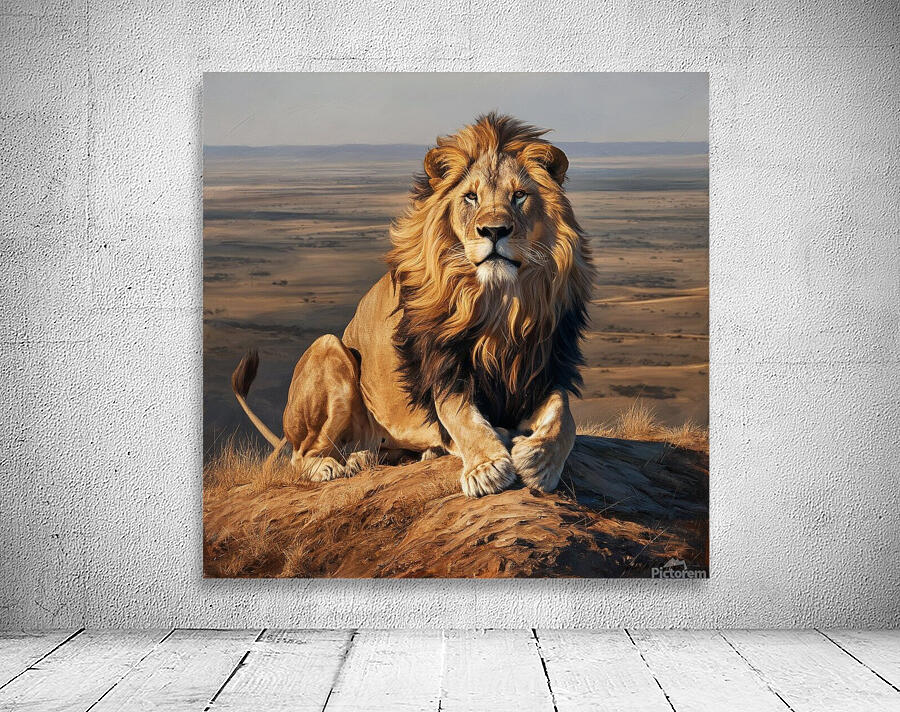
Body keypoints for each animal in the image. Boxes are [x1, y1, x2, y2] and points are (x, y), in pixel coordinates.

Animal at [232, 113, 593, 496]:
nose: (494, 231)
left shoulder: (543, 369)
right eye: (470, 197)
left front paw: (540, 461)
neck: (499, 304)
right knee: (302, 454)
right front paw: (487, 466)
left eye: (520, 195)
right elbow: (461, 416)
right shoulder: (444, 370)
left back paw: (379, 457)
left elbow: (564, 418)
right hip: (329, 348)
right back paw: (331, 466)